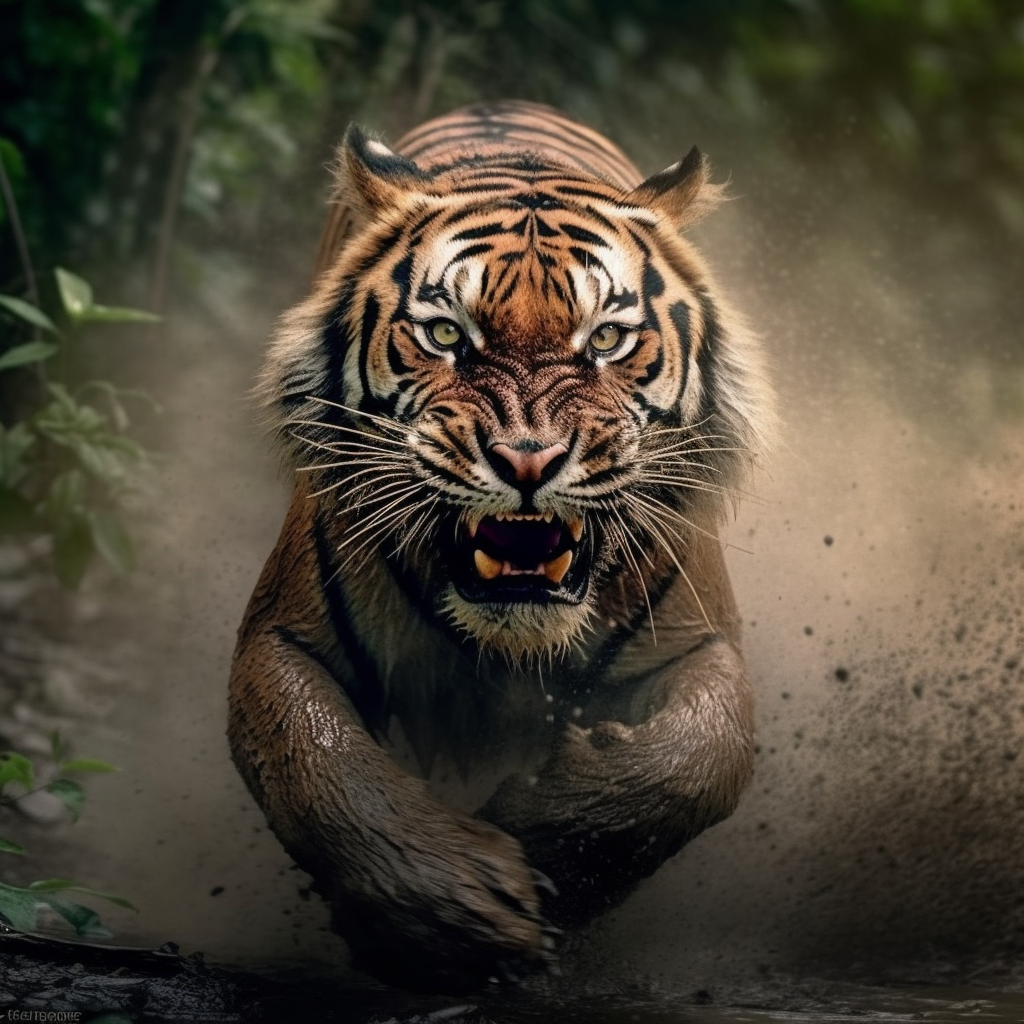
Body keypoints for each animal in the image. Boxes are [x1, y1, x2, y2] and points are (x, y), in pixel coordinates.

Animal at [228, 100, 772, 993]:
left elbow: (698, 759)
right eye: (447, 333)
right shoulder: (283, 637)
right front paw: (454, 916)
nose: (526, 460)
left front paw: (551, 847)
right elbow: (319, 767)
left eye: (607, 339)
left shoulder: (701, 640)